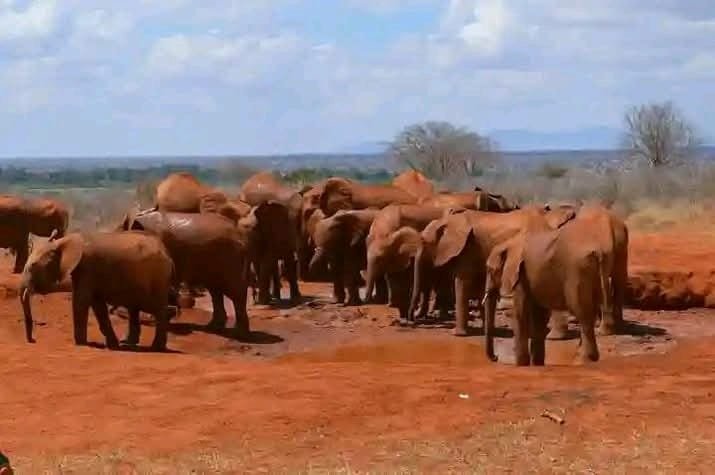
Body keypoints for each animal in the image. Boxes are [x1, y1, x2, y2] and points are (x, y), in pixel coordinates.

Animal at [20, 231, 174, 350]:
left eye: (33, 266)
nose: (33, 340)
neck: (61, 242)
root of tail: (168, 254)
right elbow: (98, 305)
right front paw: (113, 345)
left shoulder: (87, 268)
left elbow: (81, 301)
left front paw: (81, 343)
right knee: (134, 309)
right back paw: (127, 343)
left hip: (158, 278)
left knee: (158, 310)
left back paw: (156, 348)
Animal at [121, 211, 252, 338]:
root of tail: (240, 233)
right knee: (216, 291)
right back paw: (213, 327)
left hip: (230, 257)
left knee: (236, 292)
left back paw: (238, 334)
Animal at [410, 205, 577, 336]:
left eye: (423, 242)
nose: (411, 320)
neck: (448, 220)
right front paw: (488, 331)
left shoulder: (467, 249)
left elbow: (462, 282)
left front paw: (457, 334)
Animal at [482, 217, 609, 365]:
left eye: (490, 270)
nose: (495, 358)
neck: (507, 243)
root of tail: (597, 252)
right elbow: (539, 316)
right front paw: (536, 364)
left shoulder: (520, 275)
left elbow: (519, 312)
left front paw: (521, 365)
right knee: (590, 312)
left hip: (578, 273)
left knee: (582, 313)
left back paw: (586, 360)